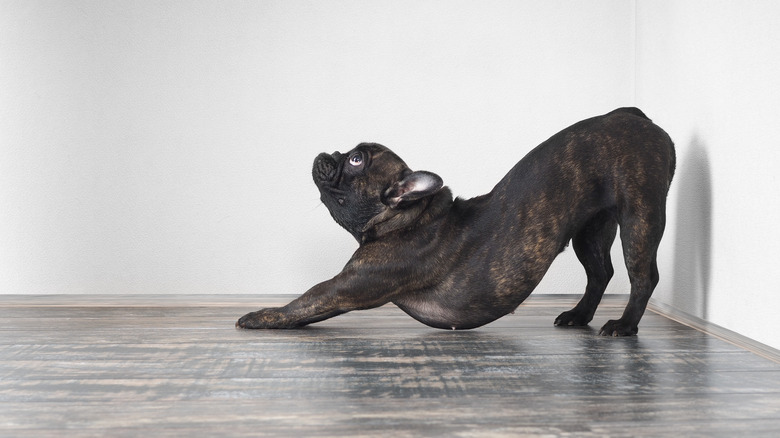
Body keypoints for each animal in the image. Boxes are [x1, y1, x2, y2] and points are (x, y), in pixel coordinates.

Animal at [238, 108, 676, 338]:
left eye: (357, 160)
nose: (328, 152)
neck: (406, 218)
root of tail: (634, 116)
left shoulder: (347, 286)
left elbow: (305, 300)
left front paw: (259, 316)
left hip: (640, 216)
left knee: (642, 275)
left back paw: (624, 325)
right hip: (590, 229)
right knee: (600, 272)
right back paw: (579, 316)